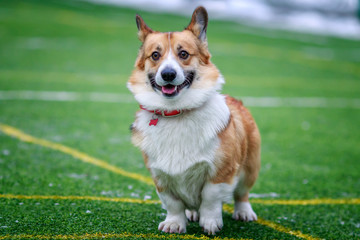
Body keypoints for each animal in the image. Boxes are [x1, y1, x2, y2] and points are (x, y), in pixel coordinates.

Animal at [128, 6, 260, 236]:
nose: (168, 74)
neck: (176, 113)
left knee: (242, 194)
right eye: (155, 55)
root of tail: (236, 100)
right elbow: (173, 203)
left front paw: (210, 223)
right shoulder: (160, 177)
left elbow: (210, 198)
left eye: (183, 54)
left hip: (250, 167)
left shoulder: (220, 172)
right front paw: (174, 224)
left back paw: (244, 212)